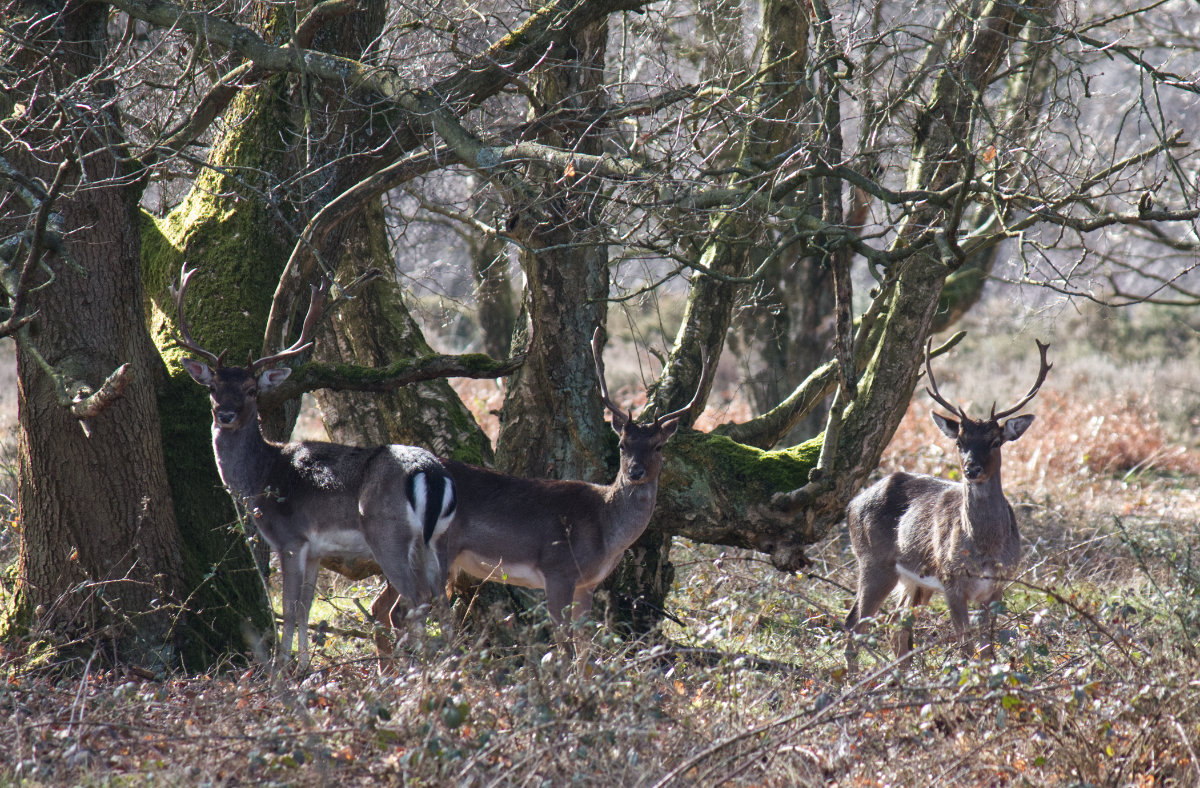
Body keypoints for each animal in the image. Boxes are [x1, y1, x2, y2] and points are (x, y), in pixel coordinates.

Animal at [174, 266, 458, 671]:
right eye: (212, 387)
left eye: (251, 390)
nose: (225, 415)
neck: (261, 479)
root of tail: (430, 471)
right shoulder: (316, 549)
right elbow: (307, 607)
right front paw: (305, 666)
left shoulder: (290, 538)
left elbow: (290, 609)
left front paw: (282, 669)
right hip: (437, 539)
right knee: (442, 601)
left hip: (389, 534)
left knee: (417, 601)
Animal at [844, 335, 1051, 662]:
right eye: (959, 442)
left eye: (995, 441)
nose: (971, 468)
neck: (986, 549)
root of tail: (852, 503)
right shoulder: (952, 581)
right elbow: (965, 647)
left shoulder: (998, 586)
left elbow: (987, 650)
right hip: (873, 561)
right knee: (854, 623)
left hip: (913, 580)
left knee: (896, 624)